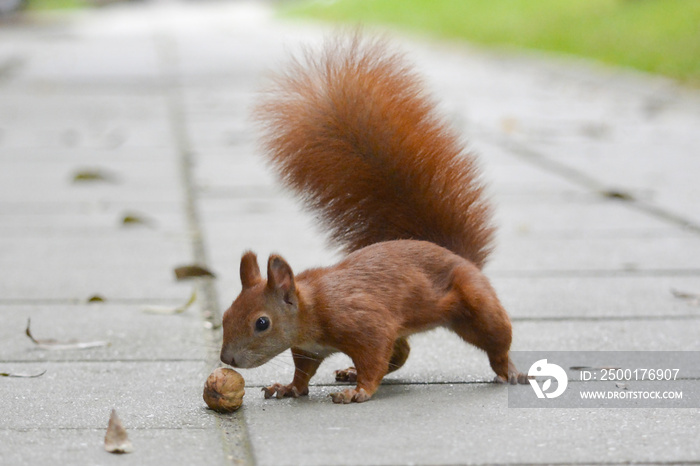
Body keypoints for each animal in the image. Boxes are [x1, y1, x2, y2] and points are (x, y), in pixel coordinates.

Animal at [221, 34, 528, 402]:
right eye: (225, 314)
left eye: (262, 323)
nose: (227, 359)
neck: (314, 306)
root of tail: (456, 255)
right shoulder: (309, 348)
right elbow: (304, 370)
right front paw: (289, 387)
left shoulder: (365, 323)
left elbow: (374, 356)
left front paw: (359, 391)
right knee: (403, 351)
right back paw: (348, 370)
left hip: (477, 306)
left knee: (496, 341)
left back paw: (509, 371)